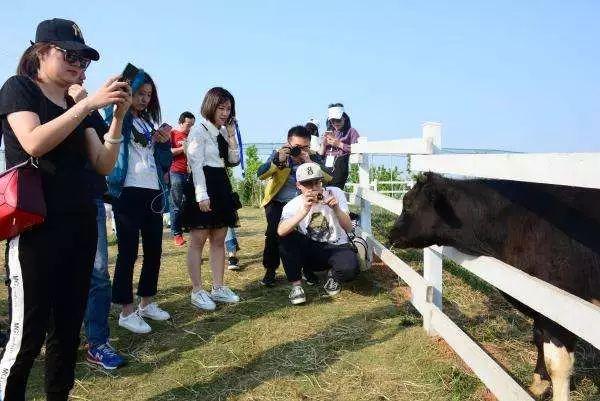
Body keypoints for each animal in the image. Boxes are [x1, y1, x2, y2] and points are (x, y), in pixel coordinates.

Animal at [390, 172, 600, 400]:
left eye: (408, 204)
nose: (391, 234)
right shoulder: (539, 307)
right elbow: (538, 338)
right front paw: (539, 383)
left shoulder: (560, 309)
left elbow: (558, 364)